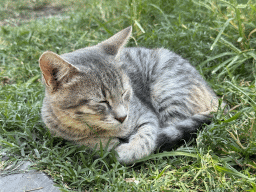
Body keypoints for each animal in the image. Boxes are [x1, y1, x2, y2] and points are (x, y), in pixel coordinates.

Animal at [39, 25, 225, 164]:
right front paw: (104, 143)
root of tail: (214, 96)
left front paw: (129, 150)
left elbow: (146, 134)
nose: (122, 117)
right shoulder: (60, 134)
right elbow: (85, 141)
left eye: (124, 93)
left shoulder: (146, 114)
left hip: (167, 92)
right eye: (102, 101)